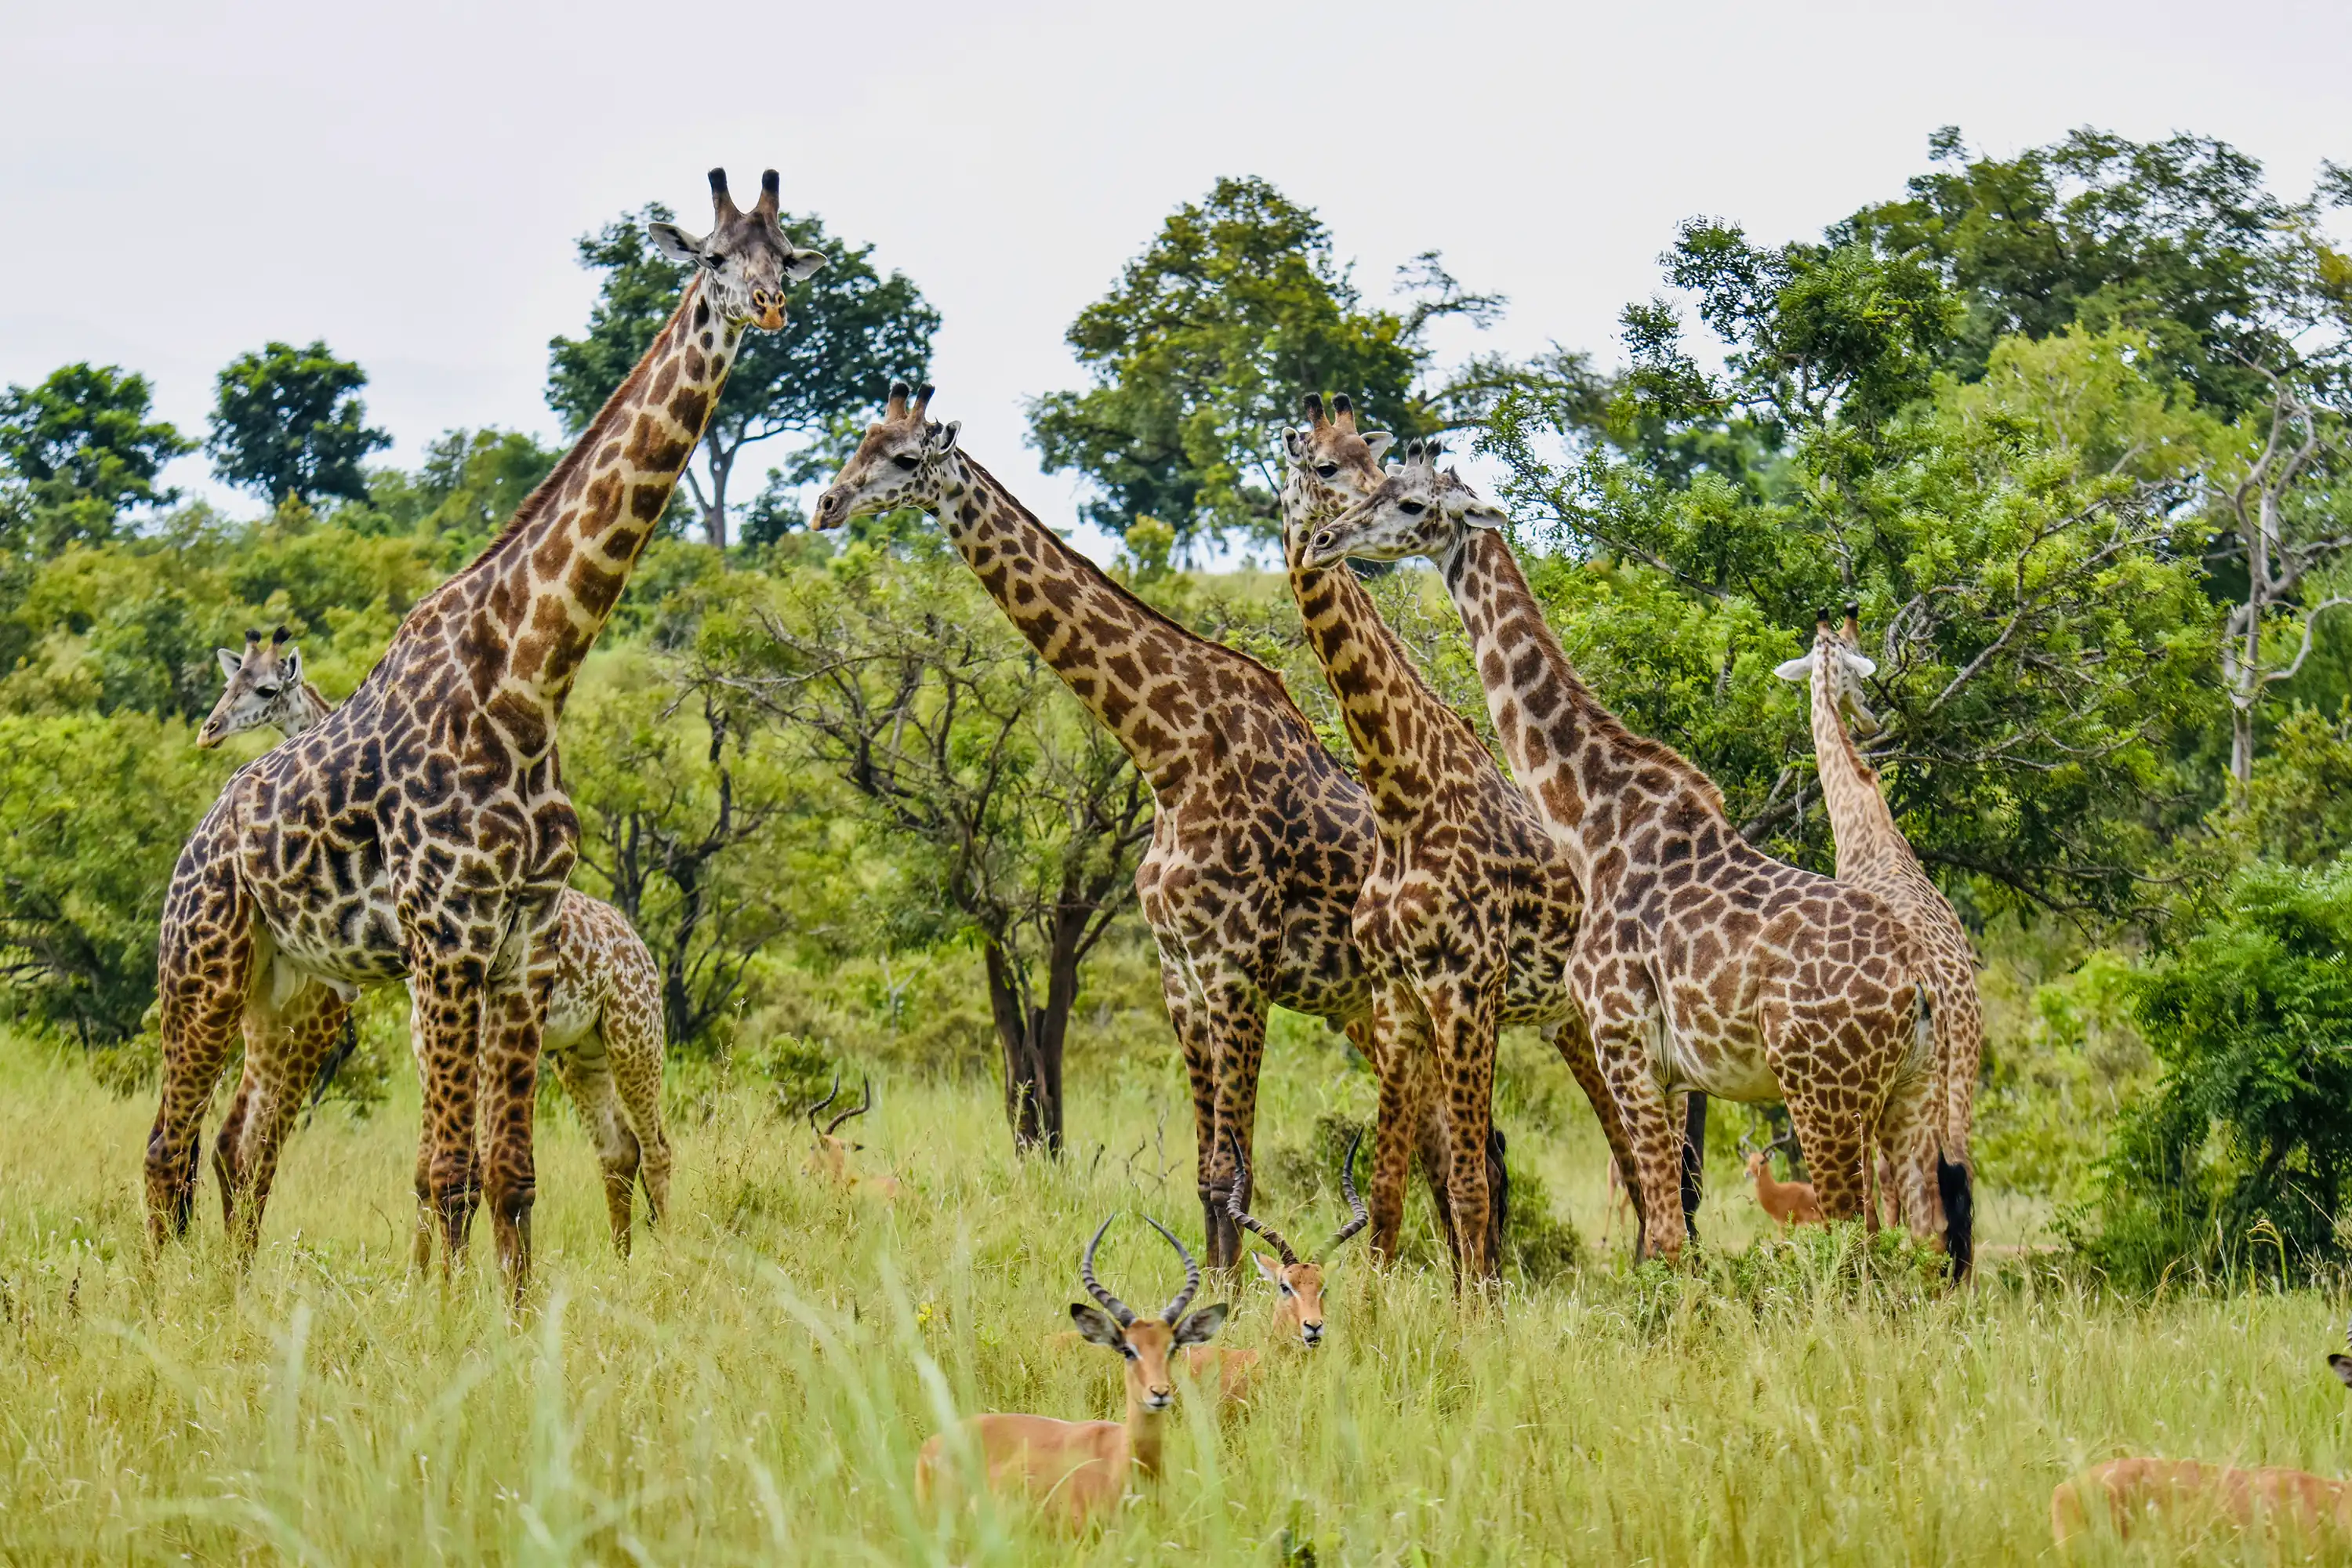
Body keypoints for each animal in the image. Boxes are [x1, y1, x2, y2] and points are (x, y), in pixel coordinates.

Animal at [197, 635, 674, 1256]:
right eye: (230, 681)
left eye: (266, 689)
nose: (209, 729)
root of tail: (641, 952)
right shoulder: (426, 1040)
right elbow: (426, 1172)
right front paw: (422, 1272)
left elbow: (460, 1166)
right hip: (580, 1051)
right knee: (619, 1148)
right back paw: (623, 1259)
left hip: (634, 1035)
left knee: (658, 1146)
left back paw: (670, 1255)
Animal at [811, 384, 1467, 1268]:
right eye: (862, 443)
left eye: (908, 458)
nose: (827, 503)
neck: (1168, 750)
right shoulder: (1179, 975)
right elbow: (1209, 1174)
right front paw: (1218, 1288)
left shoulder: (1237, 969)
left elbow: (1237, 1172)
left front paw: (1234, 1295)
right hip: (1369, 1009)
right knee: (1454, 1145)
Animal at [1280, 393, 1646, 1276]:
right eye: (1323, 464)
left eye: (1372, 464)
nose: (1327, 538)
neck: (1401, 793)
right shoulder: (1397, 997)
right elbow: (1389, 1194)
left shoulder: (1467, 989)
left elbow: (1472, 1185)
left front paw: (1476, 1306)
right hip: (1568, 1022)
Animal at [1302, 442, 1948, 1258]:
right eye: (1379, 483)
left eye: (1412, 504)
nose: (1325, 540)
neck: (1596, 827)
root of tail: (1919, 986)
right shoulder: (1665, 1073)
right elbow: (1672, 1225)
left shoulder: (1622, 1041)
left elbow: (1668, 1233)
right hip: (1909, 1095)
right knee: (1923, 1240)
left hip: (1823, 1091)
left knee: (1856, 1238)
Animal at [1774, 606, 1979, 1273]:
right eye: (1858, 682)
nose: (1869, 720)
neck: (1868, 830)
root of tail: (1939, 992)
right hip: (1955, 1081)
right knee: (1956, 1185)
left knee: (1911, 1197)